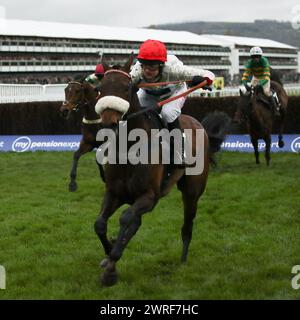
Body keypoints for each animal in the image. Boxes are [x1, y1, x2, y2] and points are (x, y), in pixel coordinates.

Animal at [92, 55, 229, 288]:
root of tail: (199, 124)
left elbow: (125, 218)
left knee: (187, 226)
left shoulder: (150, 196)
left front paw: (111, 266)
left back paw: (182, 260)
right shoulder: (114, 192)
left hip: (192, 192)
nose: (109, 124)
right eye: (101, 88)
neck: (129, 148)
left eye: (126, 87)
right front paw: (109, 255)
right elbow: (100, 224)